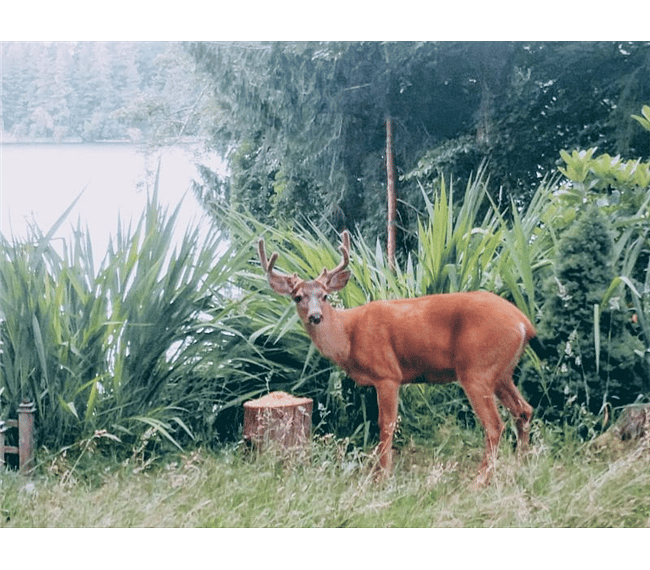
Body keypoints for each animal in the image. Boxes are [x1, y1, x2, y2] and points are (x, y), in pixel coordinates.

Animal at [258, 230, 535, 484]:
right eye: (297, 297)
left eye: (325, 295)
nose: (315, 317)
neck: (348, 337)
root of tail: (524, 323)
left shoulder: (387, 374)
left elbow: (386, 425)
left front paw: (383, 476)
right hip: (501, 372)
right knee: (524, 410)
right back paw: (521, 466)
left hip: (477, 368)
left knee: (495, 424)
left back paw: (480, 480)